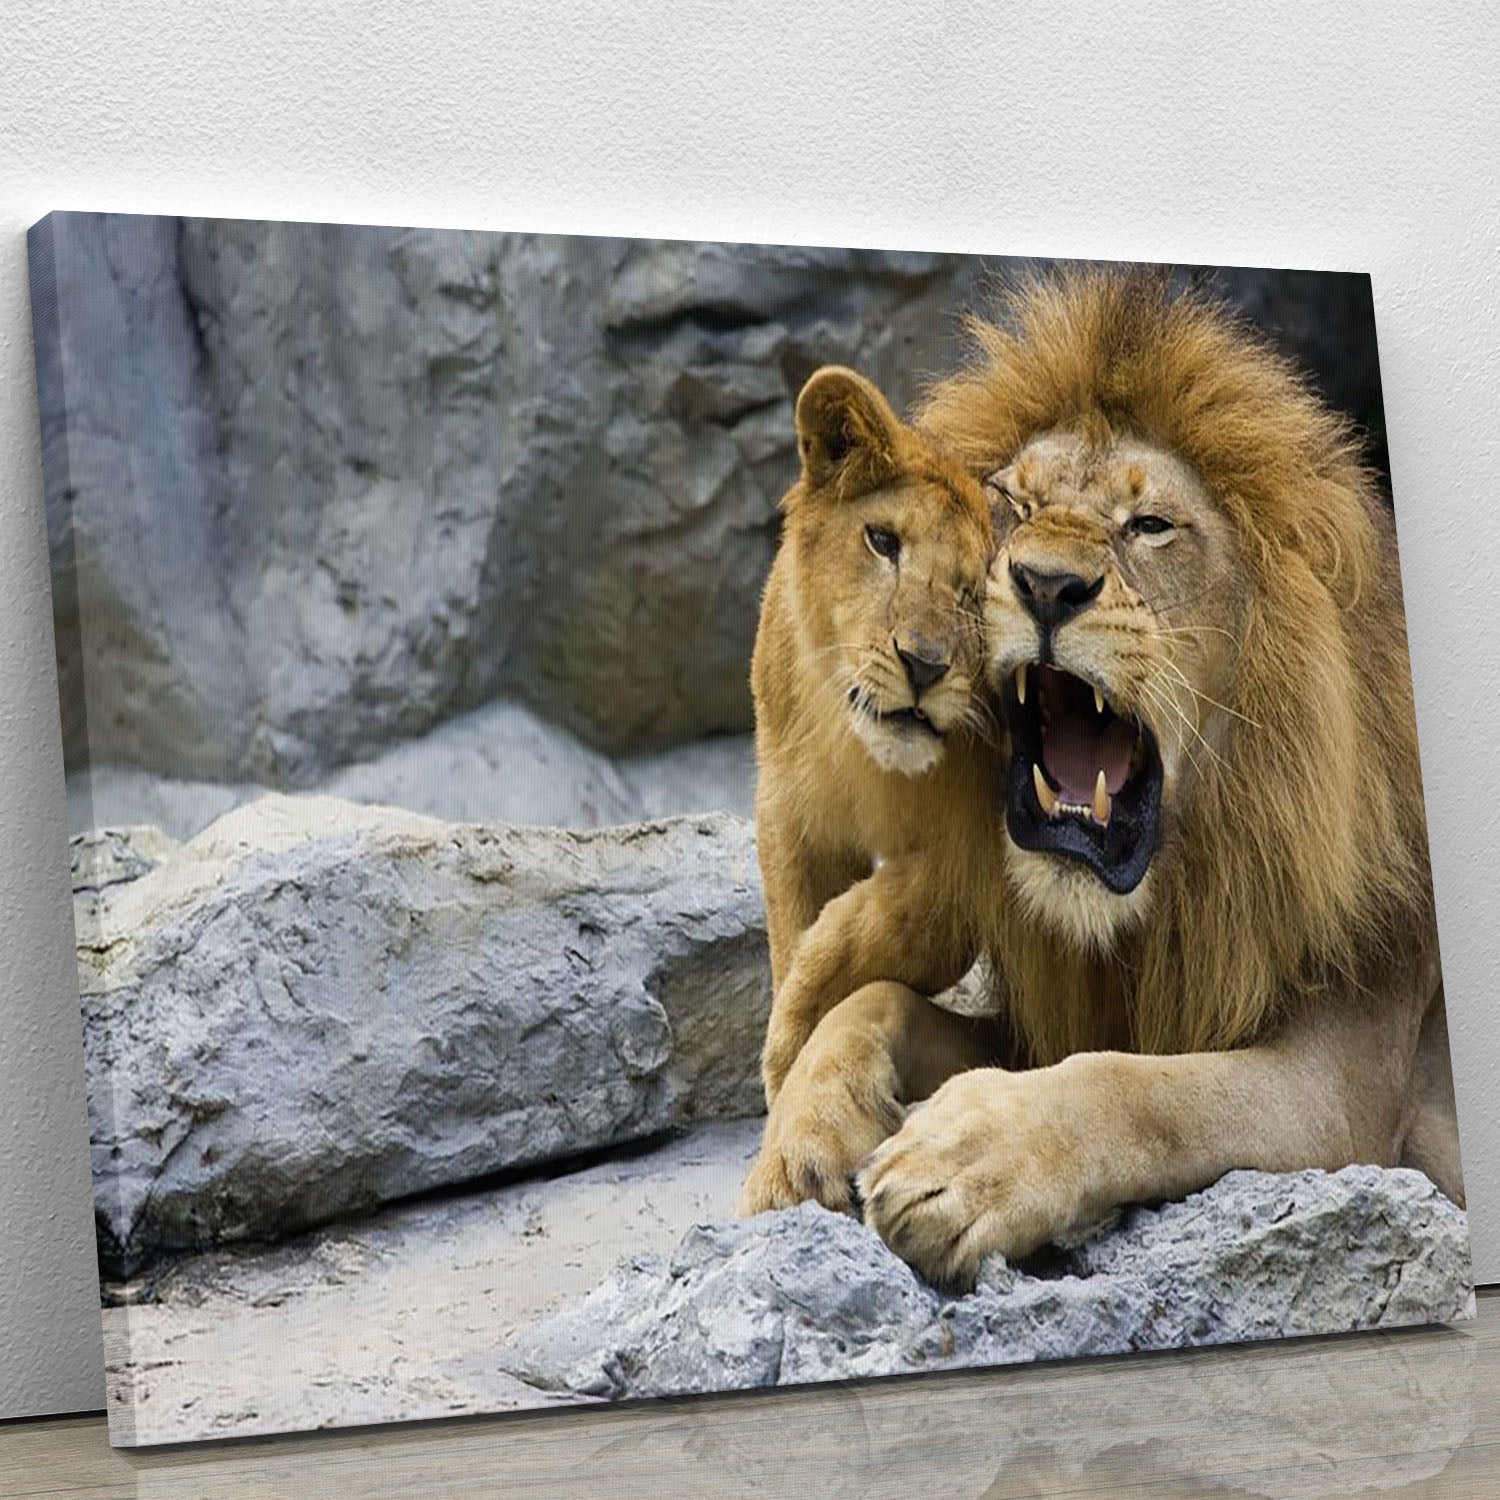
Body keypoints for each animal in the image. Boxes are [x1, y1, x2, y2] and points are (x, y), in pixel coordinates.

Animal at [737, 366, 1006, 1214]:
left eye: (975, 588)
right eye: (883, 542)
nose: (923, 664)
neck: (870, 763)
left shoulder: (985, 851)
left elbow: (888, 926)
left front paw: (795, 1033)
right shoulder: (789, 817)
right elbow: (795, 930)